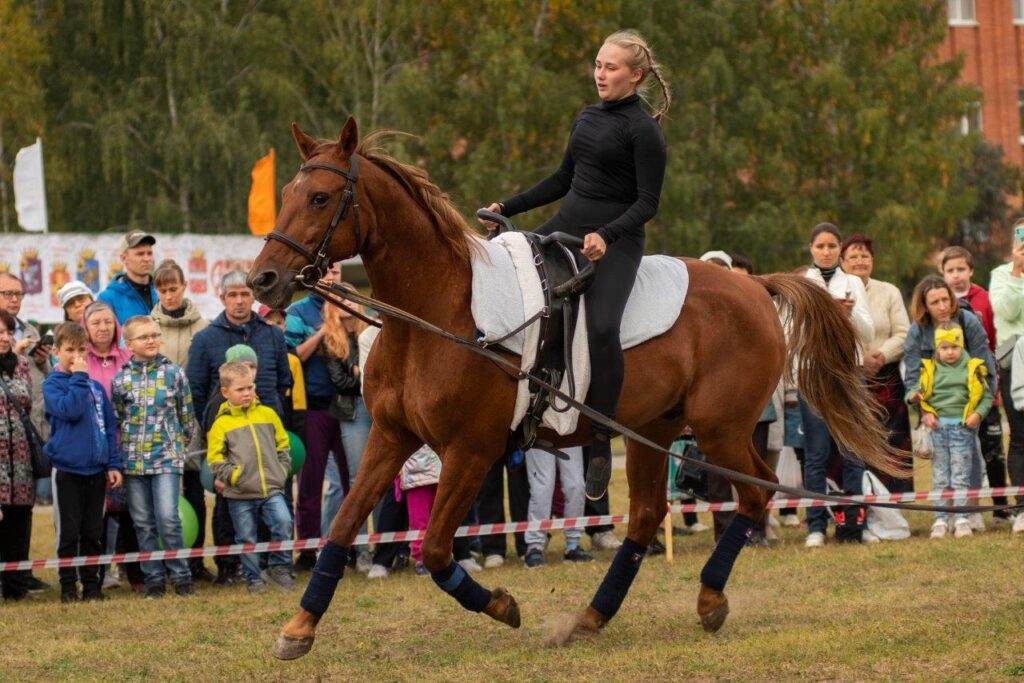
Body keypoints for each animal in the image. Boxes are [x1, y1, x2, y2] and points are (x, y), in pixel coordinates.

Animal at [251, 120, 901, 659]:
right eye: (285, 197)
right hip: (653, 430)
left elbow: (434, 549)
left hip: (720, 428)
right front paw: (298, 629)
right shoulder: (390, 436)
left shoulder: (470, 451)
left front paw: (502, 605)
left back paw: (709, 600)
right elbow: (341, 528)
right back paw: (592, 617)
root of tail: (755, 285)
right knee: (648, 515)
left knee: (754, 492)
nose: (263, 279)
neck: (438, 314)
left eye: (320, 198)